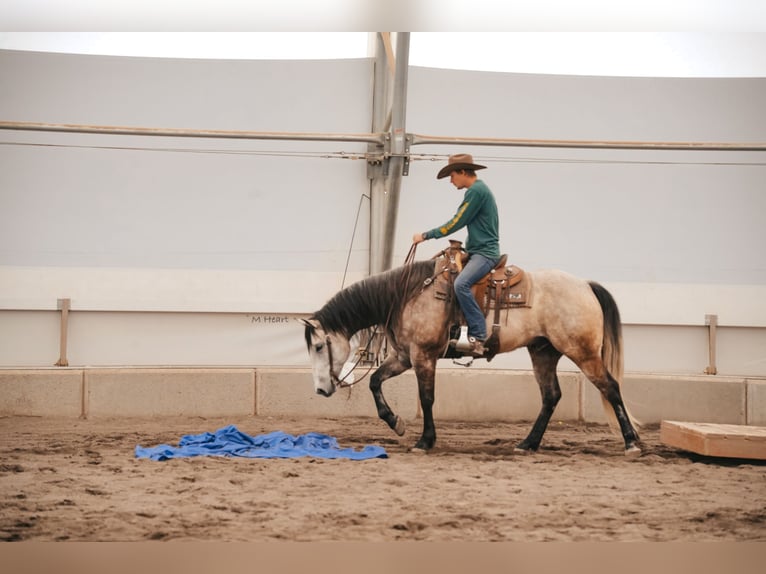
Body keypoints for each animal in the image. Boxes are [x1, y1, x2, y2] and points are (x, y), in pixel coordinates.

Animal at [303, 250, 642, 457]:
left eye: (319, 346)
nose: (319, 390)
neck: (407, 295)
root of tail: (585, 285)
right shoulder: (403, 356)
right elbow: (375, 382)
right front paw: (395, 422)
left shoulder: (423, 356)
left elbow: (427, 398)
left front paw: (425, 440)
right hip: (543, 352)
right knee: (551, 396)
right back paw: (527, 443)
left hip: (582, 352)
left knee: (610, 387)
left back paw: (632, 442)